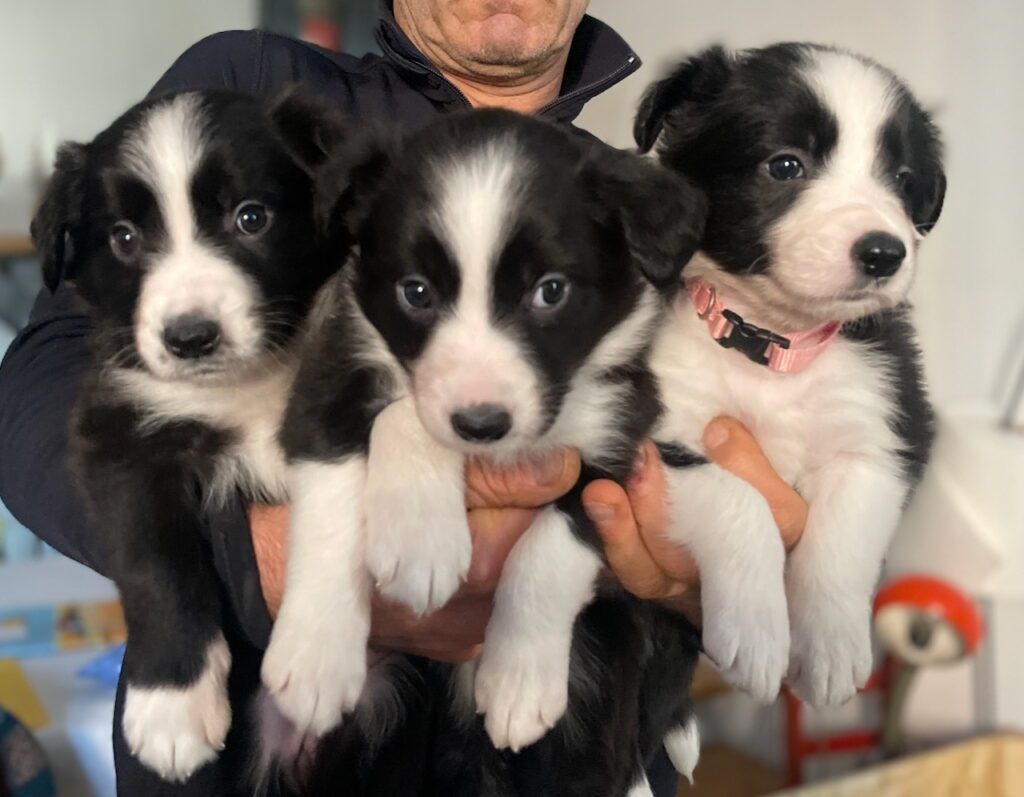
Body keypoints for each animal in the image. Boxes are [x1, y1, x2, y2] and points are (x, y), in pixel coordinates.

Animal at [32, 90, 348, 778]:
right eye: (124, 238)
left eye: (250, 217)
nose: (191, 337)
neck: (250, 383)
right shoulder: (122, 437)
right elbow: (155, 561)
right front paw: (170, 710)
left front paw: (318, 658)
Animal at [264, 107, 708, 794]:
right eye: (416, 292)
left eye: (550, 290)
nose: (481, 424)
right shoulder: (323, 389)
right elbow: (357, 477)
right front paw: (319, 653)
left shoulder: (616, 441)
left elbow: (550, 547)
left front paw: (517, 682)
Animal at [630, 42, 942, 700]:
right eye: (786, 165)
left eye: (903, 182)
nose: (884, 253)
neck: (775, 343)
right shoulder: (652, 429)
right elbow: (739, 499)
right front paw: (756, 632)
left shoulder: (884, 433)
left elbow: (842, 539)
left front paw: (830, 649)